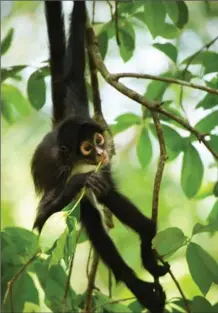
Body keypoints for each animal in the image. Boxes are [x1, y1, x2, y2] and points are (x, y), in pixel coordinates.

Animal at [30, 1, 168, 310]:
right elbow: (40, 223)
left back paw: (146, 240)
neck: (77, 161)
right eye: (87, 147)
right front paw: (79, 184)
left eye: (98, 140)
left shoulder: (100, 165)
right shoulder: (61, 175)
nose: (103, 150)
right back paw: (141, 287)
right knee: (89, 212)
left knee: (105, 196)